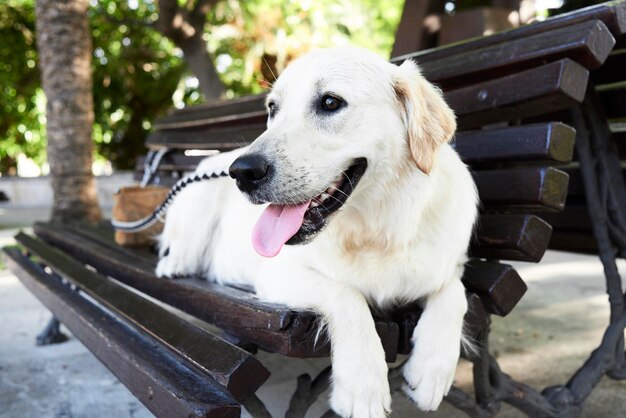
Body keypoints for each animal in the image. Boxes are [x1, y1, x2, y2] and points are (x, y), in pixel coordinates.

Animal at [157, 47, 478, 416]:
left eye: (330, 102)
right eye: (273, 108)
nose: (243, 172)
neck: (377, 229)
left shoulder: (445, 265)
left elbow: (455, 292)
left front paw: (432, 370)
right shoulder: (278, 273)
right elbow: (347, 296)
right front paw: (362, 386)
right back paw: (174, 264)